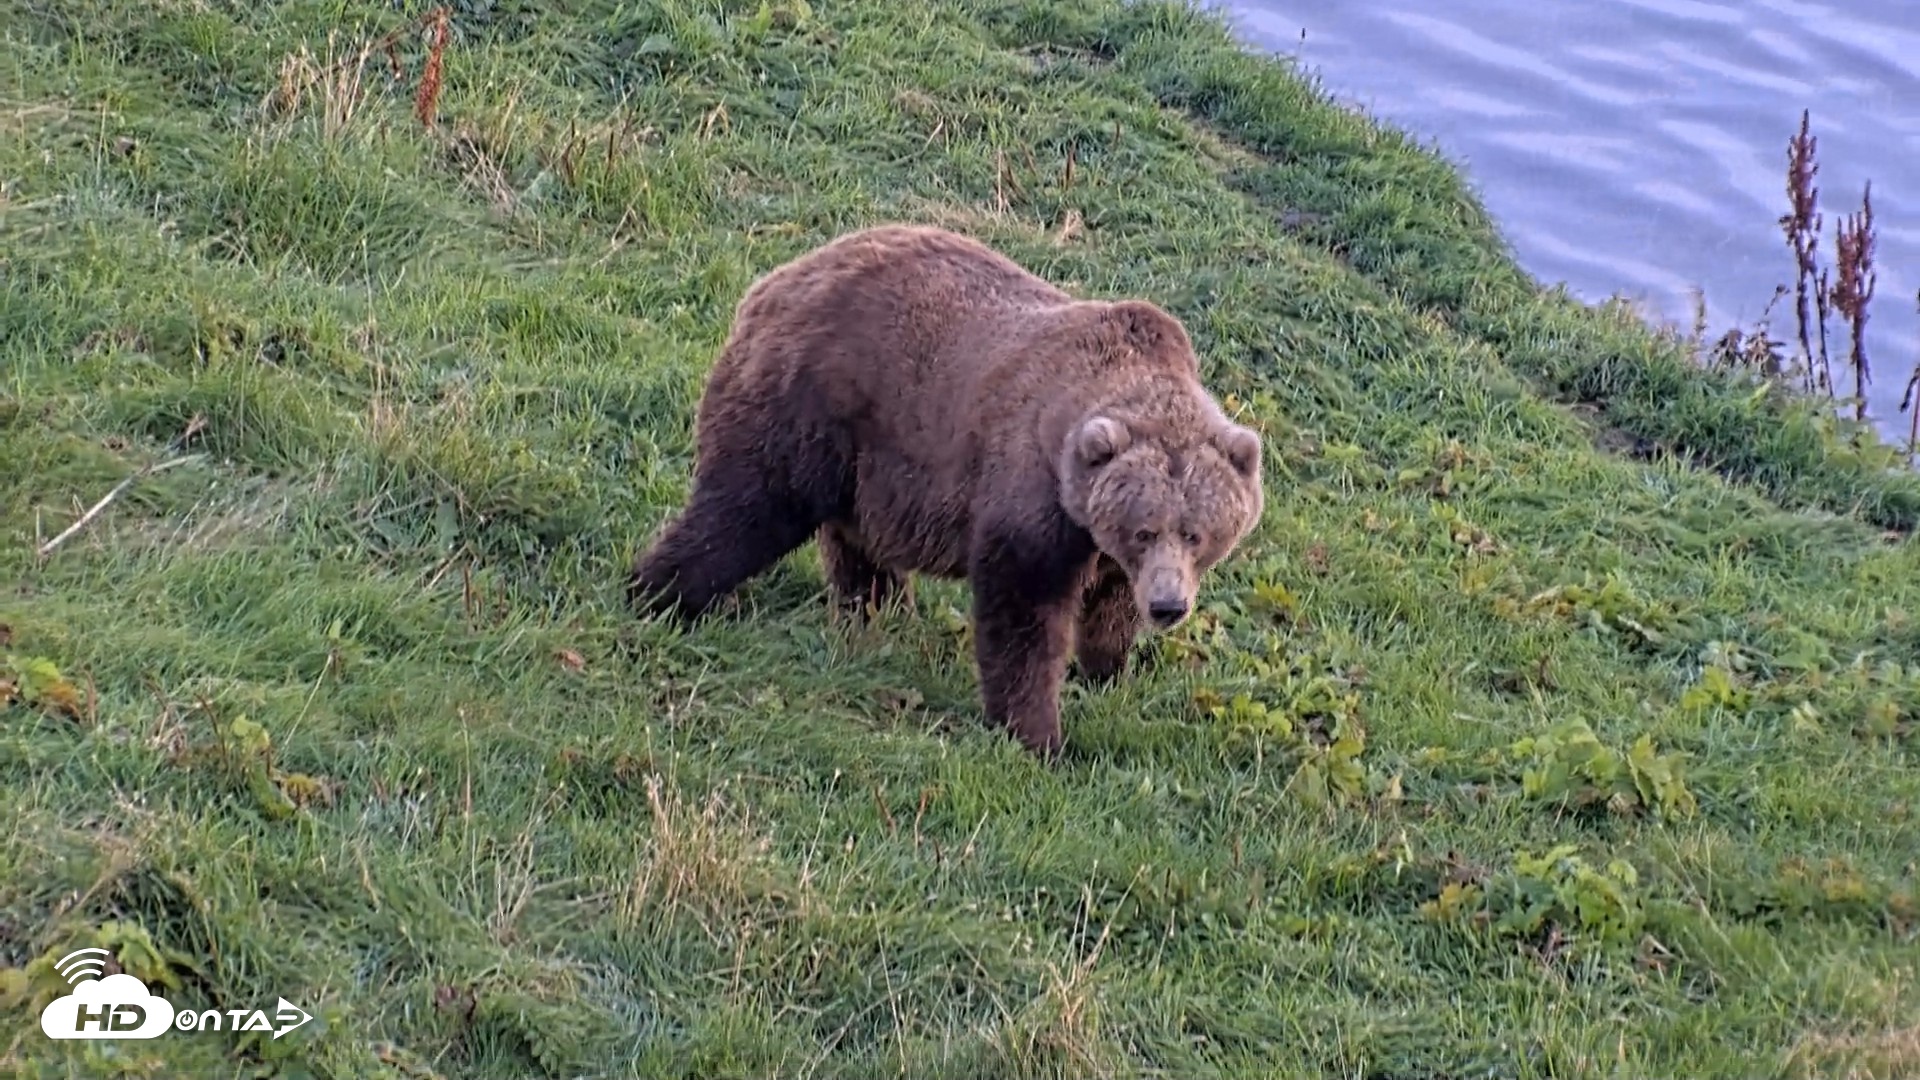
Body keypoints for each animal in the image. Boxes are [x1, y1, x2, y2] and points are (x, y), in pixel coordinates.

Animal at [627, 223, 1264, 759]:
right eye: (1146, 529)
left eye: (1196, 534)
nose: (1168, 606)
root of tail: (778, 279)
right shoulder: (1030, 491)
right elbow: (1023, 612)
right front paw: (1039, 736)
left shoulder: (1098, 537)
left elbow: (1108, 605)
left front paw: (1107, 670)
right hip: (812, 401)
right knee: (748, 507)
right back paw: (661, 595)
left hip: (867, 462)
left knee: (856, 543)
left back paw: (879, 614)